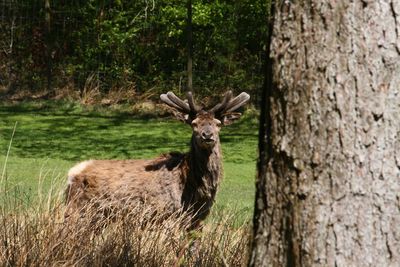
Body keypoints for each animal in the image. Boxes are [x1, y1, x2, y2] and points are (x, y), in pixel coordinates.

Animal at [64, 91, 248, 229]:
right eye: (194, 124)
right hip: (78, 210)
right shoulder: (167, 215)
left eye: (218, 124)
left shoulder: (197, 219)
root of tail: (72, 173)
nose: (207, 135)